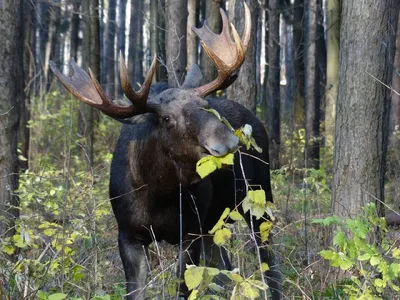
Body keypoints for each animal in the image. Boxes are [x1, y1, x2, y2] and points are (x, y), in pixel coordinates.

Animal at [50, 2, 282, 300]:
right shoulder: (128, 235)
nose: (227, 141)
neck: (157, 193)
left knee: (268, 260)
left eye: (206, 104)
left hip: (258, 196)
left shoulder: (190, 234)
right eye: (166, 118)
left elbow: (183, 289)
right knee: (225, 267)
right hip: (215, 224)